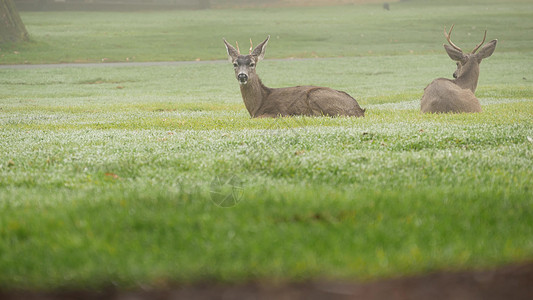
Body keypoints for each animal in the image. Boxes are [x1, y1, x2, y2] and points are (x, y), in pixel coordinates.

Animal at [222, 35, 364, 118]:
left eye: (252, 64)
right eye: (235, 64)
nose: (242, 75)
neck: (257, 106)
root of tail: (359, 109)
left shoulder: (275, 112)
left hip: (316, 95)